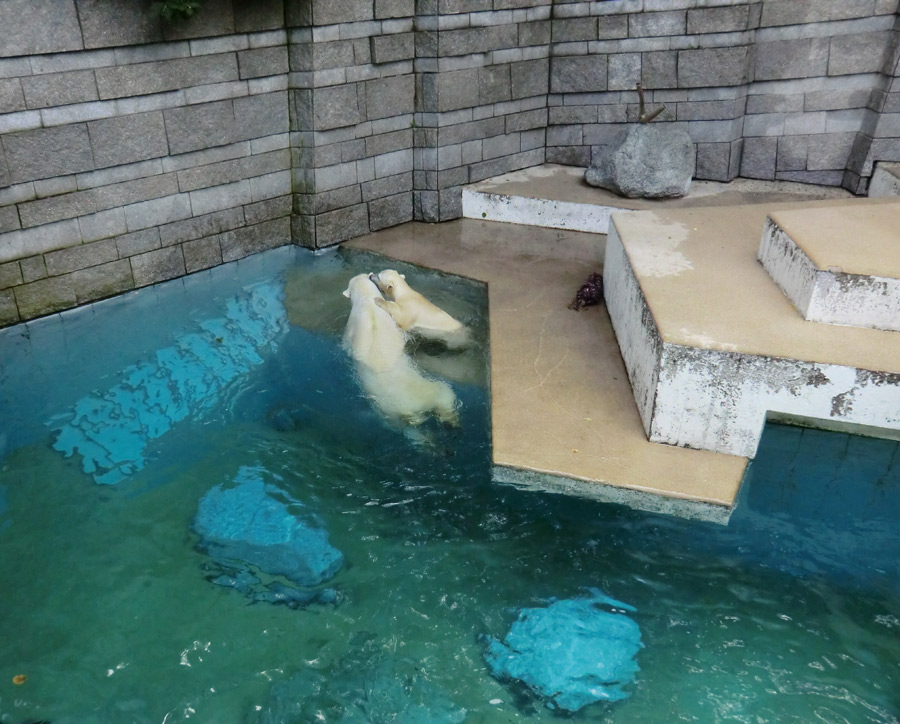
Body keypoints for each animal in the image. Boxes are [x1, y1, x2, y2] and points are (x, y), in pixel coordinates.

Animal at [342, 274, 460, 428]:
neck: (367, 302)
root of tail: (420, 406)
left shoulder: (353, 325)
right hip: (430, 392)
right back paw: (450, 421)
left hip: (392, 409)